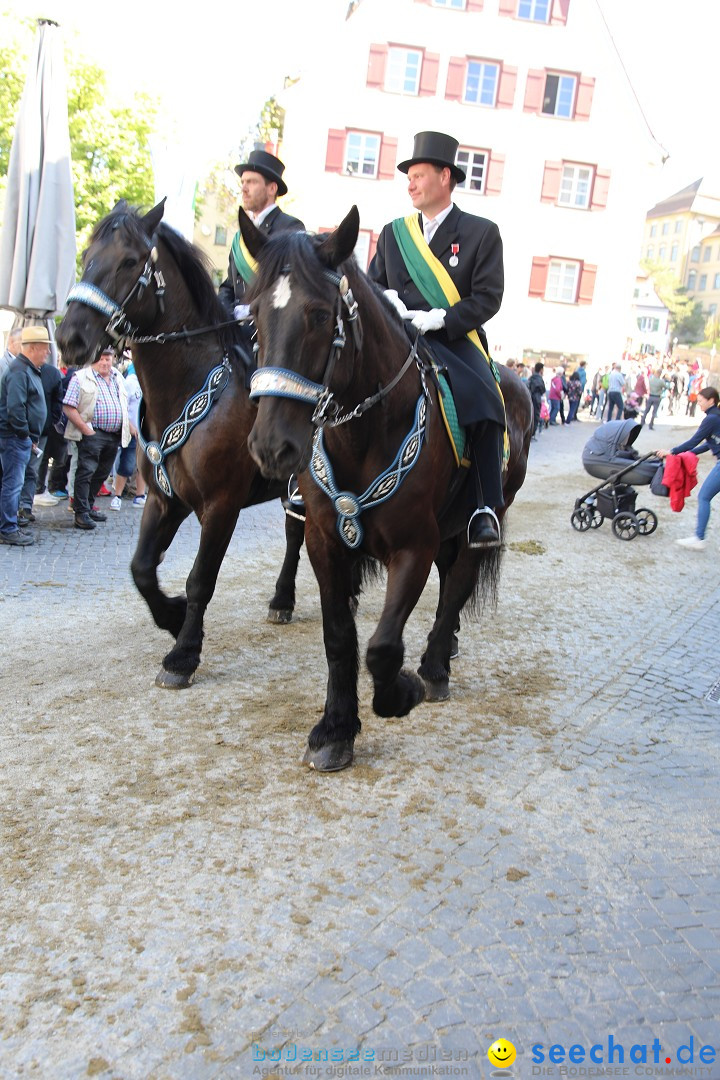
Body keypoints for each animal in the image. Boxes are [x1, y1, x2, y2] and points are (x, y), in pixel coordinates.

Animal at [55, 203, 304, 686]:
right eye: (87, 255)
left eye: (130, 261)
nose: (70, 337)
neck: (193, 384)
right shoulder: (164, 498)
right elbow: (141, 569)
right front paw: (172, 616)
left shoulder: (220, 505)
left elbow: (200, 579)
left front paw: (183, 654)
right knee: (294, 533)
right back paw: (282, 600)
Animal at [240, 208, 528, 768]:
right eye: (255, 316)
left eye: (318, 314)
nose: (270, 446)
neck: (365, 431)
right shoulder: (325, 542)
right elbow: (339, 638)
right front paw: (335, 729)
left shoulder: (413, 546)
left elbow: (381, 647)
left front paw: (401, 691)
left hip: (479, 520)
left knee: (457, 585)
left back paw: (435, 668)